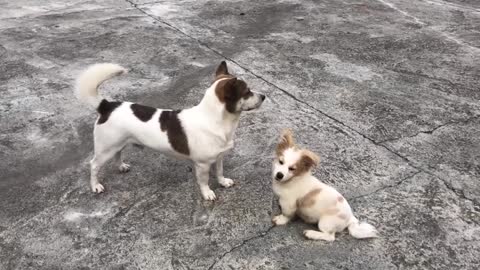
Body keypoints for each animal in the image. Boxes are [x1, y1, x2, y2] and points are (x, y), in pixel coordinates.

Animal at [77, 61, 268, 200]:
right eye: (247, 92)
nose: (264, 96)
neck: (216, 120)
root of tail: (107, 105)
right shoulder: (203, 164)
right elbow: (204, 181)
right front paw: (207, 193)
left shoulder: (219, 157)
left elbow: (220, 171)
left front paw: (223, 182)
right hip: (106, 149)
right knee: (94, 165)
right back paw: (95, 185)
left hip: (118, 143)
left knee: (118, 154)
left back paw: (121, 166)